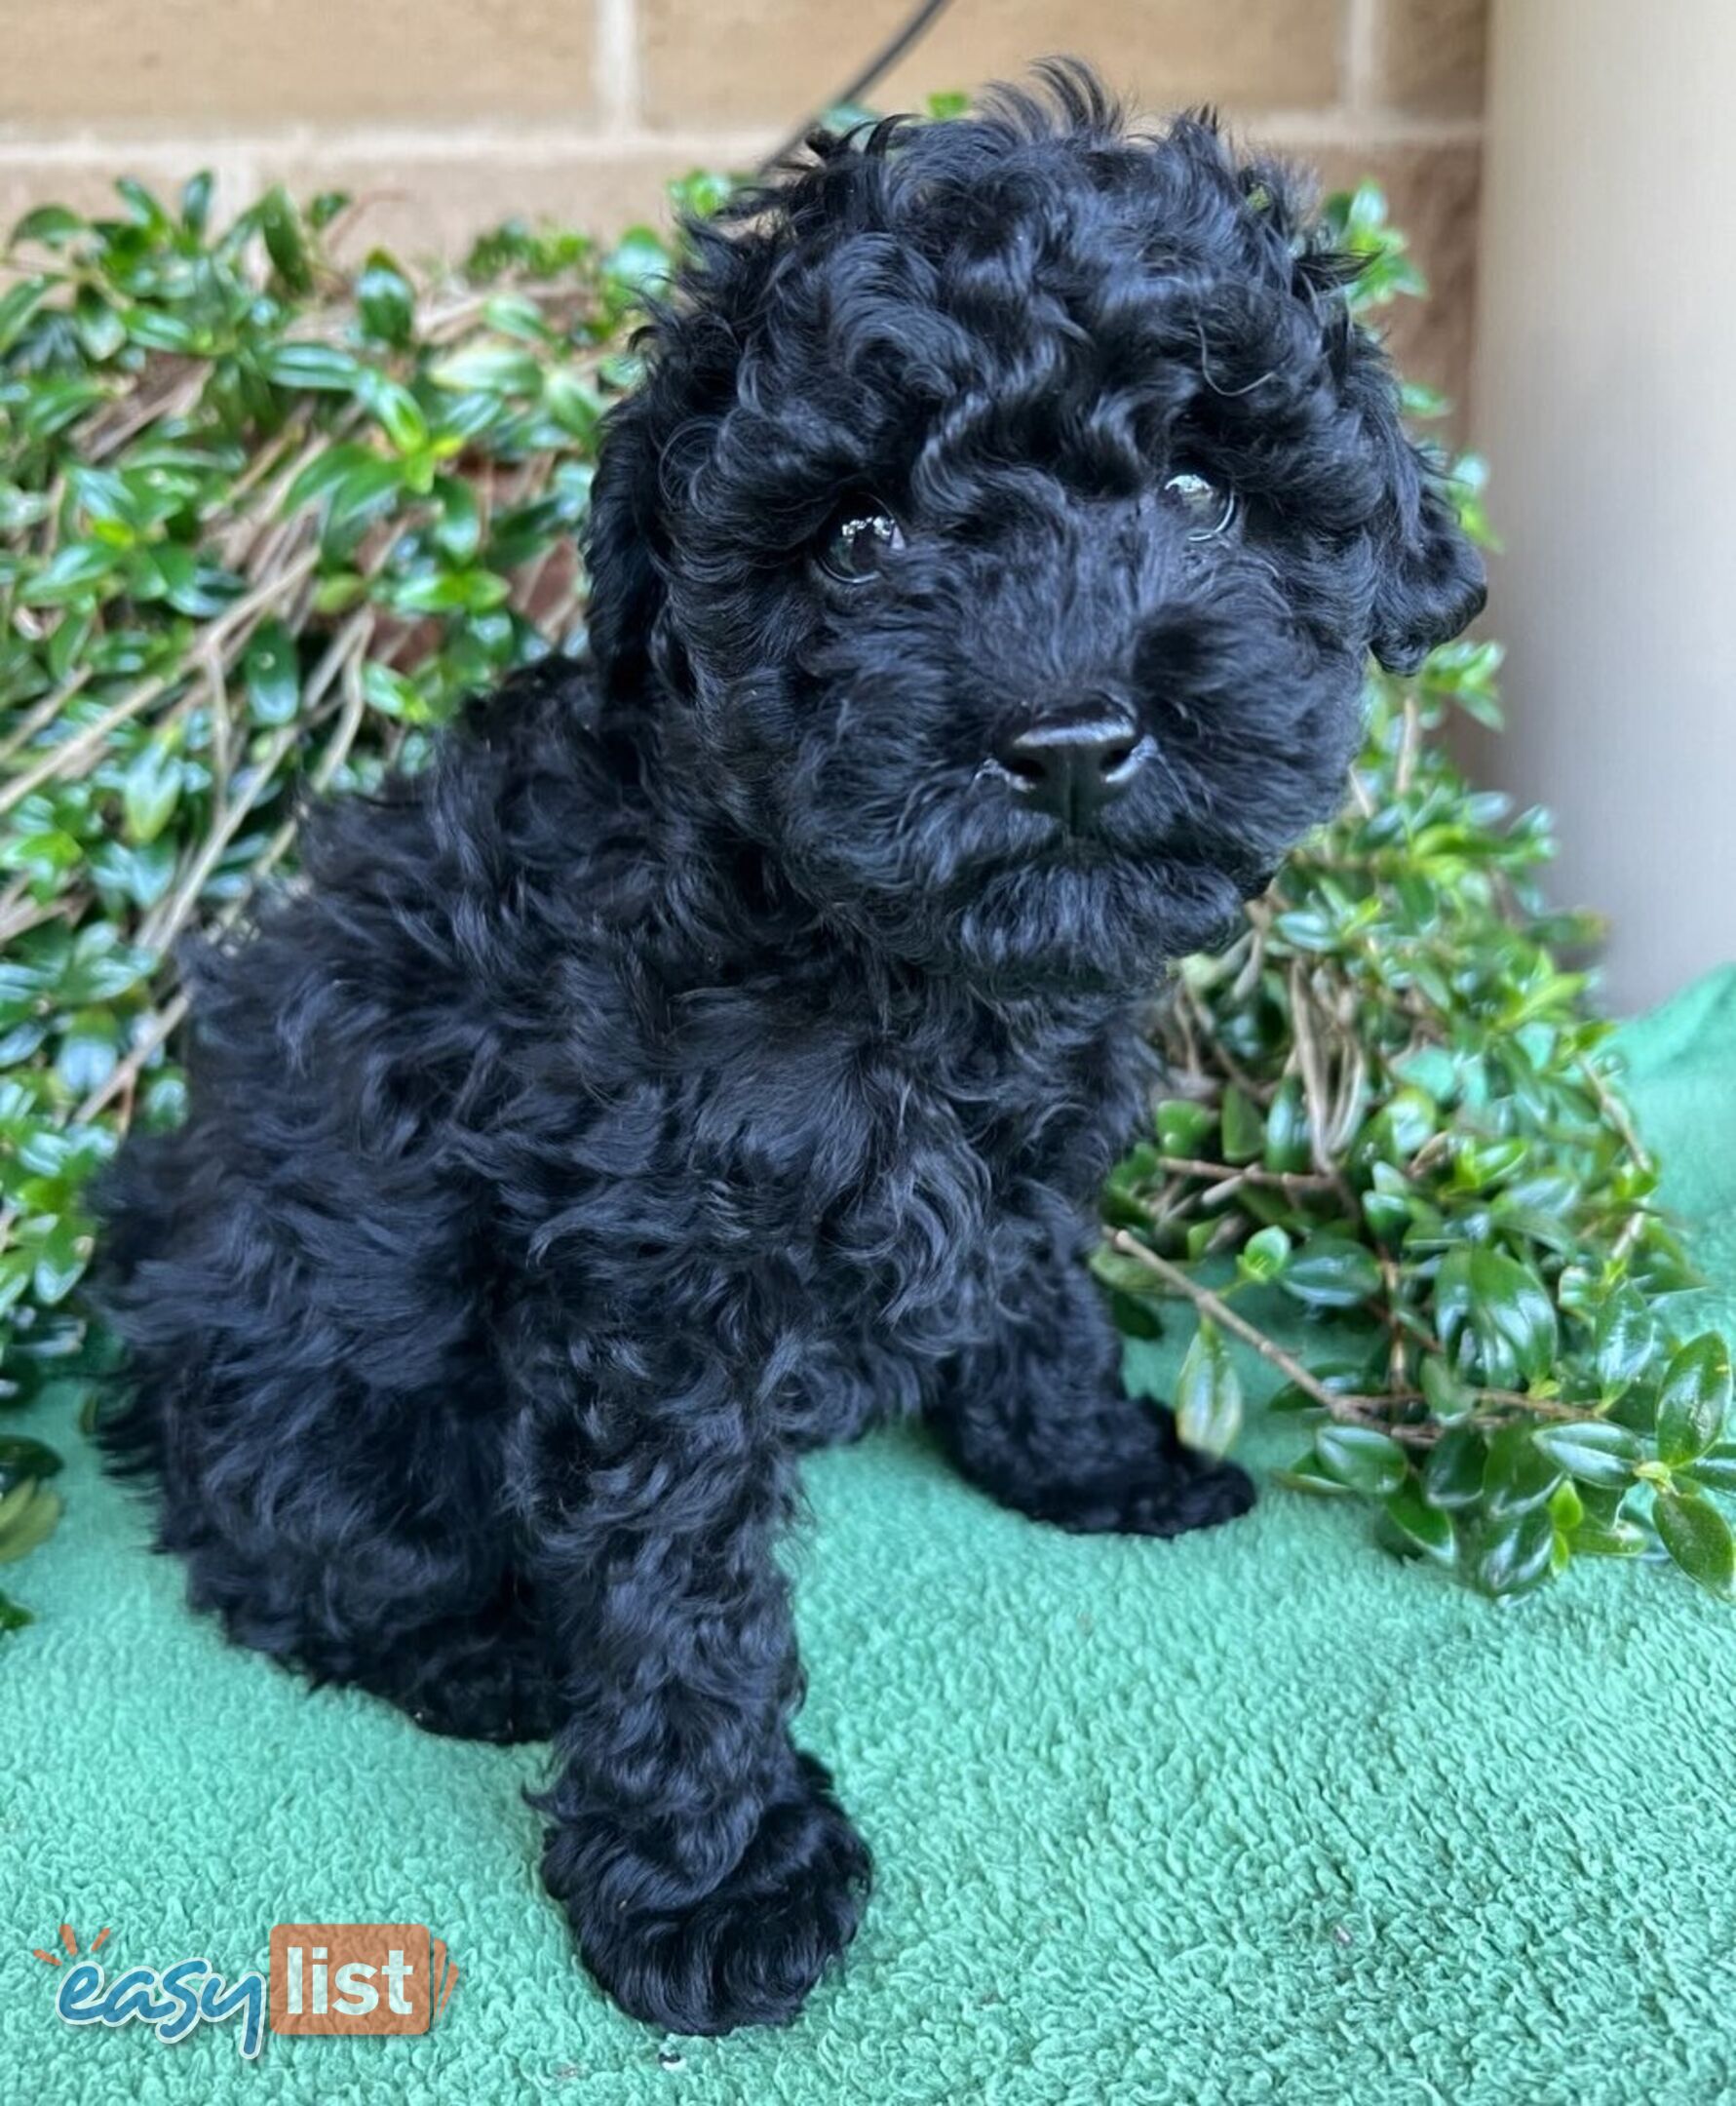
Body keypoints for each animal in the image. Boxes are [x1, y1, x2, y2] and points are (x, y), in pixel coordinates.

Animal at [91, 69, 1473, 2038]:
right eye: (859, 539)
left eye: (1203, 489)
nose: (1069, 737)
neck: (909, 965)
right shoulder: (654, 1285)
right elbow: (683, 1590)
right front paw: (715, 1877)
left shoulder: (1024, 1157)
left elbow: (1037, 1295)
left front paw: (1092, 1462)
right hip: (312, 1374)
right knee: (287, 1555)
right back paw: (488, 1656)